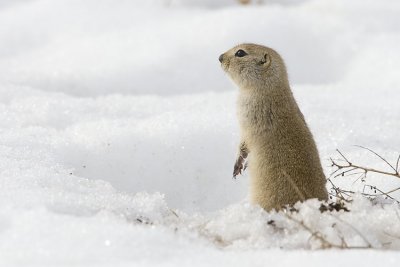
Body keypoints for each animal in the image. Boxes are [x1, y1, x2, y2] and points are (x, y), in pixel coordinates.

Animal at [219, 44, 328, 211]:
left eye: (240, 53)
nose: (220, 57)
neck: (268, 88)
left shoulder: (248, 122)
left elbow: (244, 144)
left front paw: (239, 166)